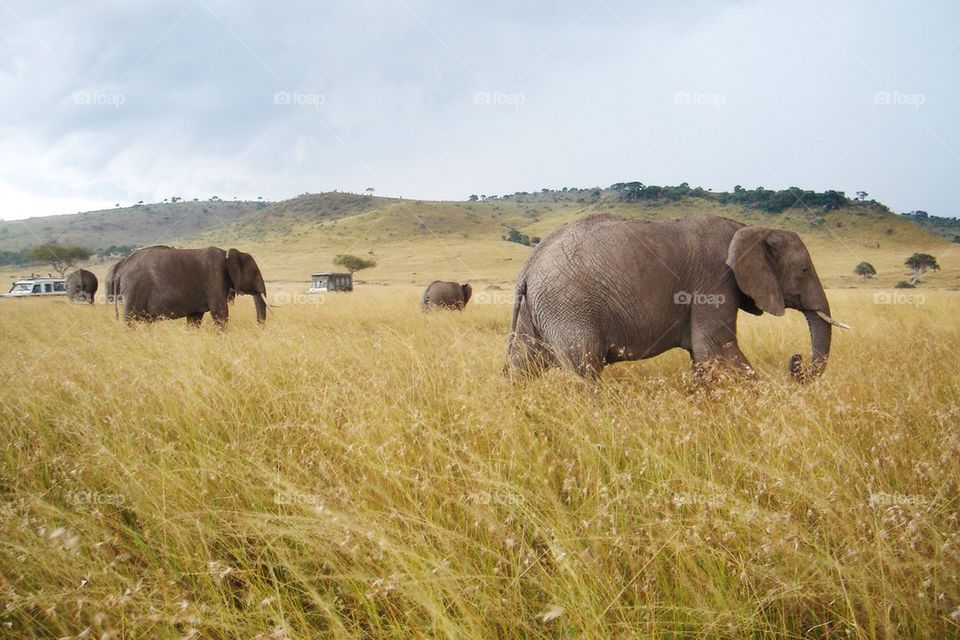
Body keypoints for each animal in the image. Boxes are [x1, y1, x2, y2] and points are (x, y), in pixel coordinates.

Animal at [112, 245, 266, 327]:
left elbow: (194, 318)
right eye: (254, 272)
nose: (259, 327)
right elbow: (220, 313)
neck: (226, 253)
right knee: (130, 320)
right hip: (133, 289)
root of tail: (122, 264)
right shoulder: (214, 276)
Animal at [505, 214, 848, 382]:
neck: (748, 229)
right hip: (567, 306)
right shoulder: (715, 280)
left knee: (522, 366)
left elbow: (704, 358)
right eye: (804, 270)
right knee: (584, 371)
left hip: (538, 311)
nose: (796, 360)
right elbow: (715, 352)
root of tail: (527, 269)